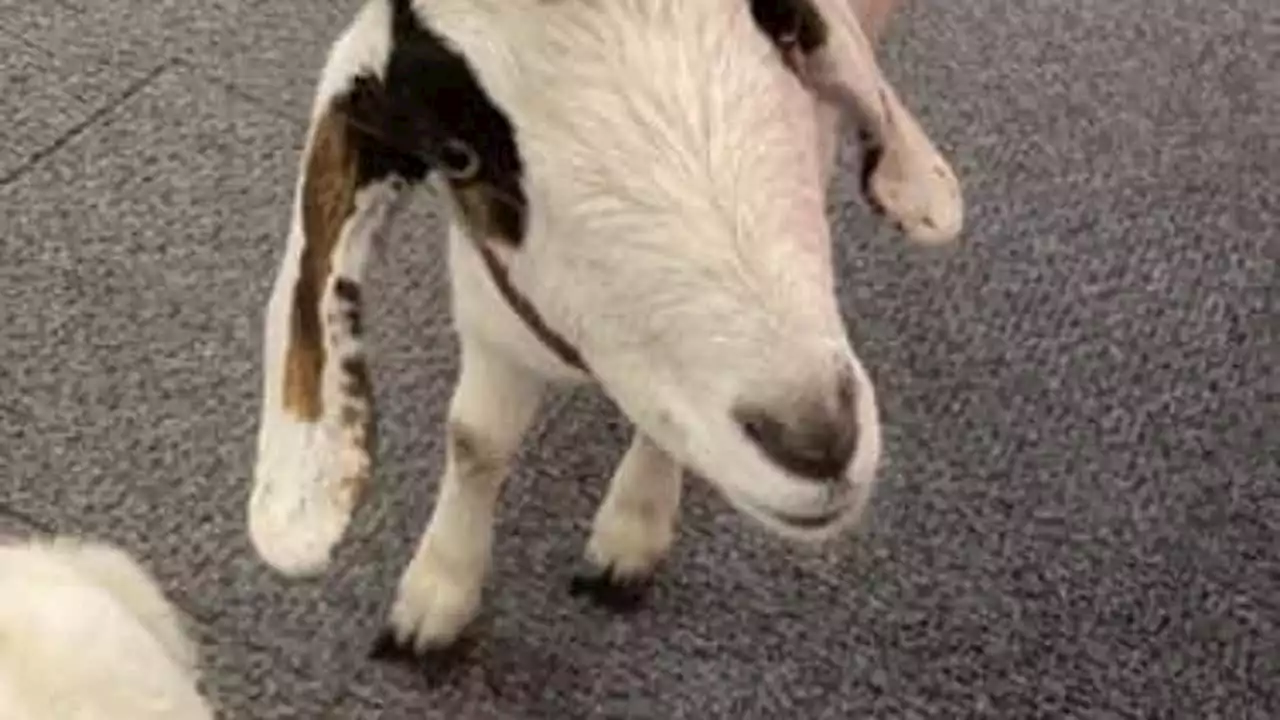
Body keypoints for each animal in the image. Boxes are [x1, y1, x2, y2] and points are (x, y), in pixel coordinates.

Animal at [247, 0, 962, 653]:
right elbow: (476, 439)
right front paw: (437, 594)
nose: (816, 443)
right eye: (458, 155)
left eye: (787, 29)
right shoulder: (488, 294)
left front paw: (630, 533)